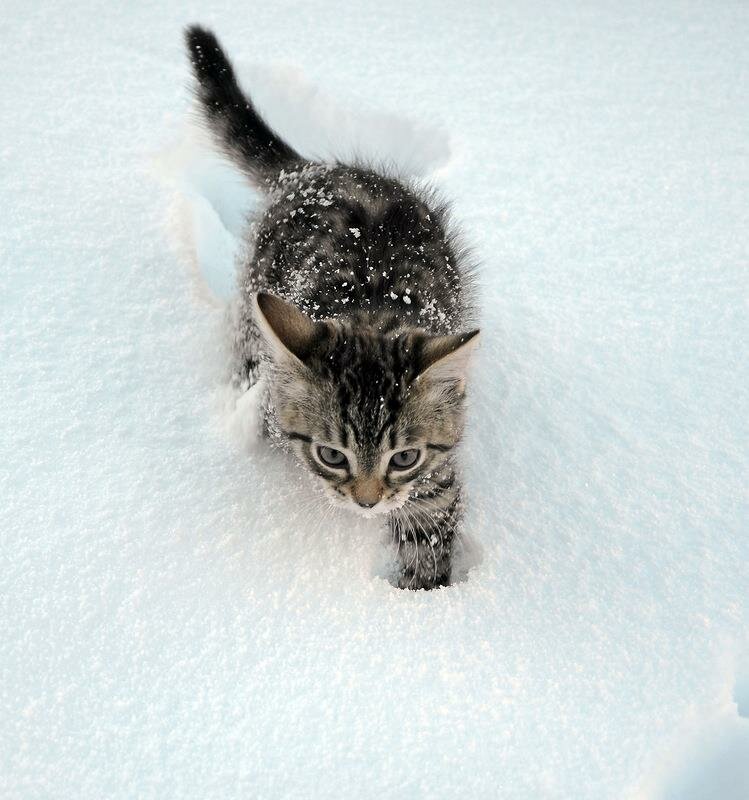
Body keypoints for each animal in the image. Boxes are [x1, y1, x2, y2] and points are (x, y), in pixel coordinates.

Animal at [186, 25, 480, 588]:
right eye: (331, 455)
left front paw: (426, 596)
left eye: (404, 458)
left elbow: (428, 531)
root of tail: (311, 172)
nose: (367, 504)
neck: (370, 312)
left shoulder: (433, 475)